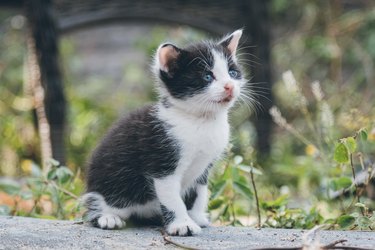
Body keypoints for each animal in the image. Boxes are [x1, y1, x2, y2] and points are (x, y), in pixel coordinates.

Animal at [82, 29, 247, 236]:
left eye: (232, 73)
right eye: (207, 77)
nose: (229, 86)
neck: (201, 121)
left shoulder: (204, 167)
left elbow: (199, 193)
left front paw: (196, 217)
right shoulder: (162, 162)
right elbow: (173, 199)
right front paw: (183, 224)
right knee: (94, 204)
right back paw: (107, 217)